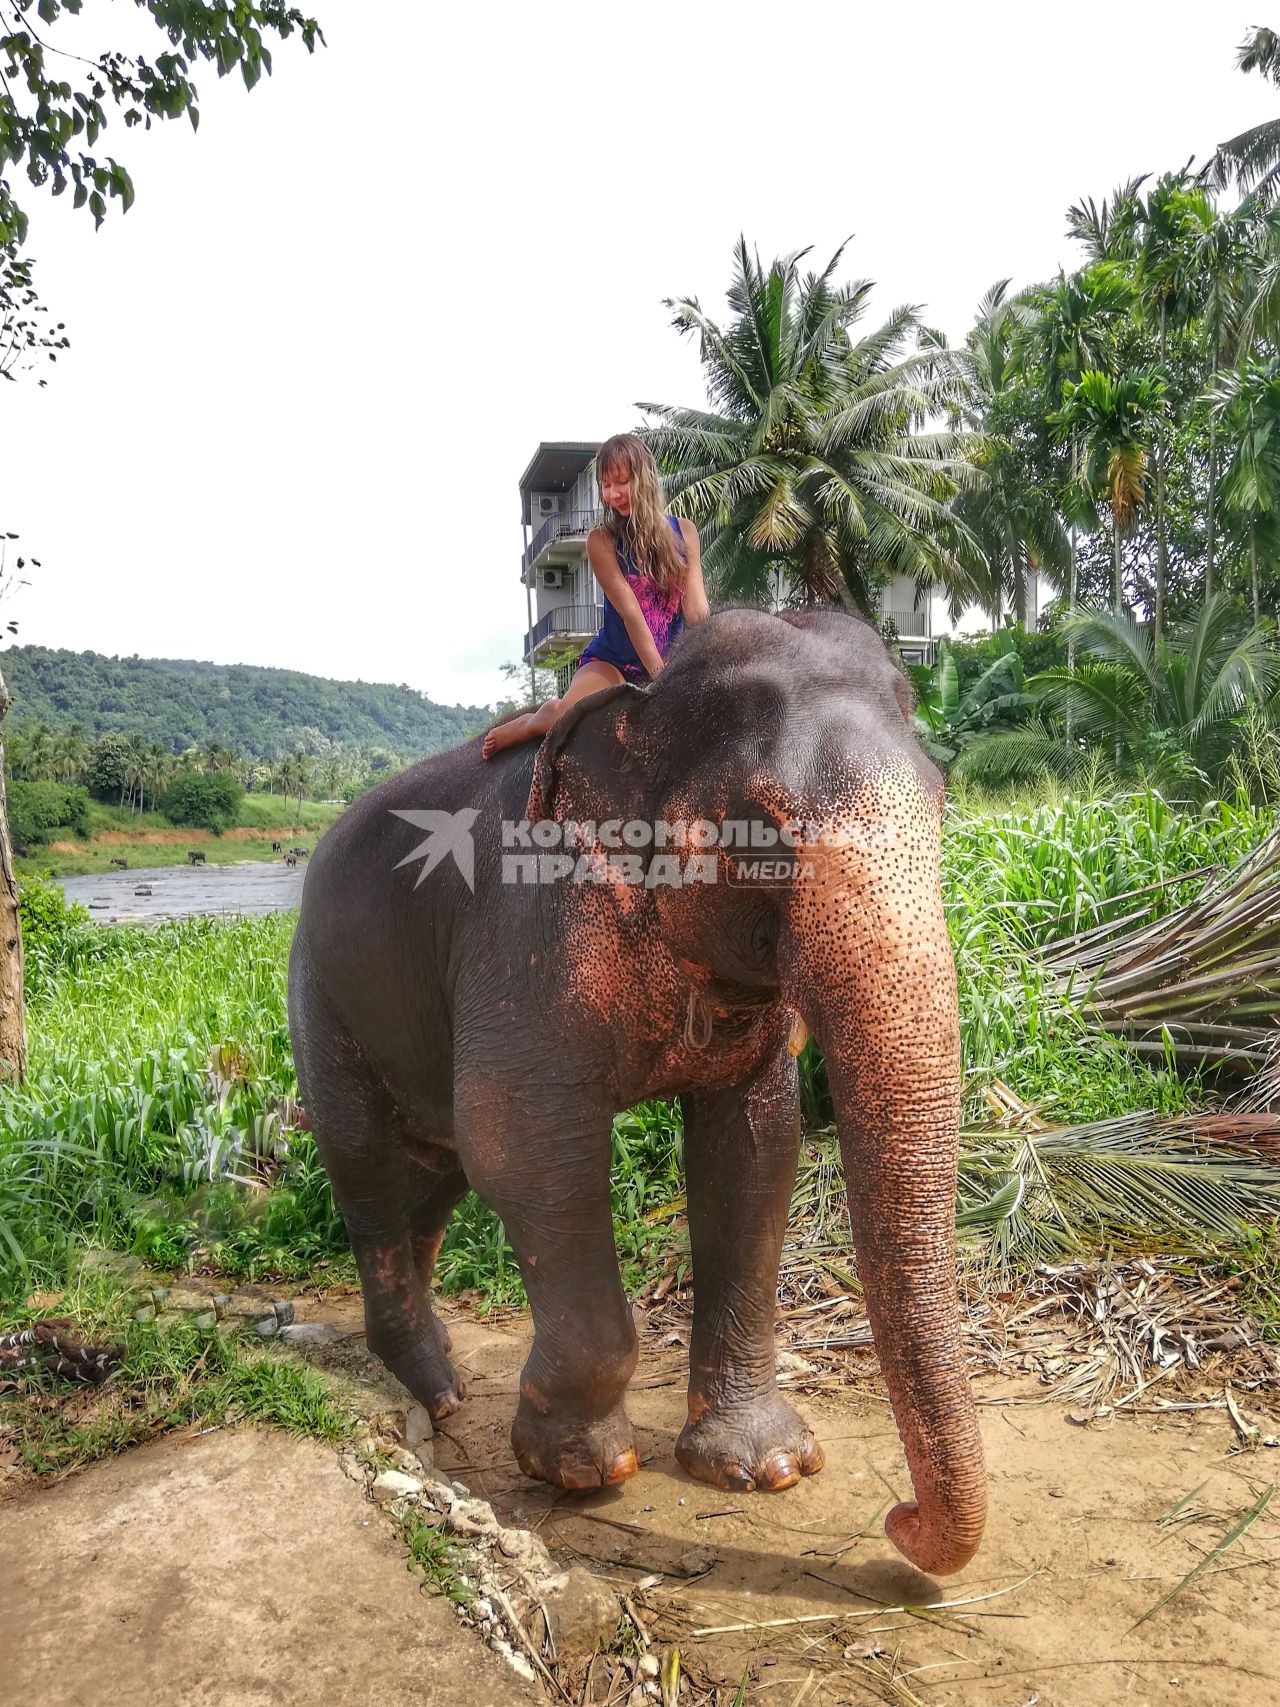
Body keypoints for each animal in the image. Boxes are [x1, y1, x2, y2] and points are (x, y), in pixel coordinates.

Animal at [290, 607, 989, 1577]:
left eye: (940, 801)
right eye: (761, 828)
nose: (900, 1518)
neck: (643, 713)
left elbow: (756, 1149)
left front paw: (767, 1468)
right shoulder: (527, 930)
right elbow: (521, 1141)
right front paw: (580, 1469)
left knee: (432, 1180)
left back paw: (447, 1384)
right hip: (321, 992)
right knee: (369, 1170)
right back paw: (432, 1395)